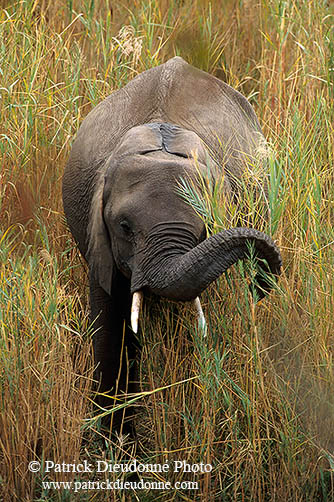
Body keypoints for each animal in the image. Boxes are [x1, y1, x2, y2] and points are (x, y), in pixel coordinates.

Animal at [62, 56, 282, 436]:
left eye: (204, 229)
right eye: (124, 227)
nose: (260, 276)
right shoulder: (98, 241)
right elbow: (108, 328)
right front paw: (111, 439)